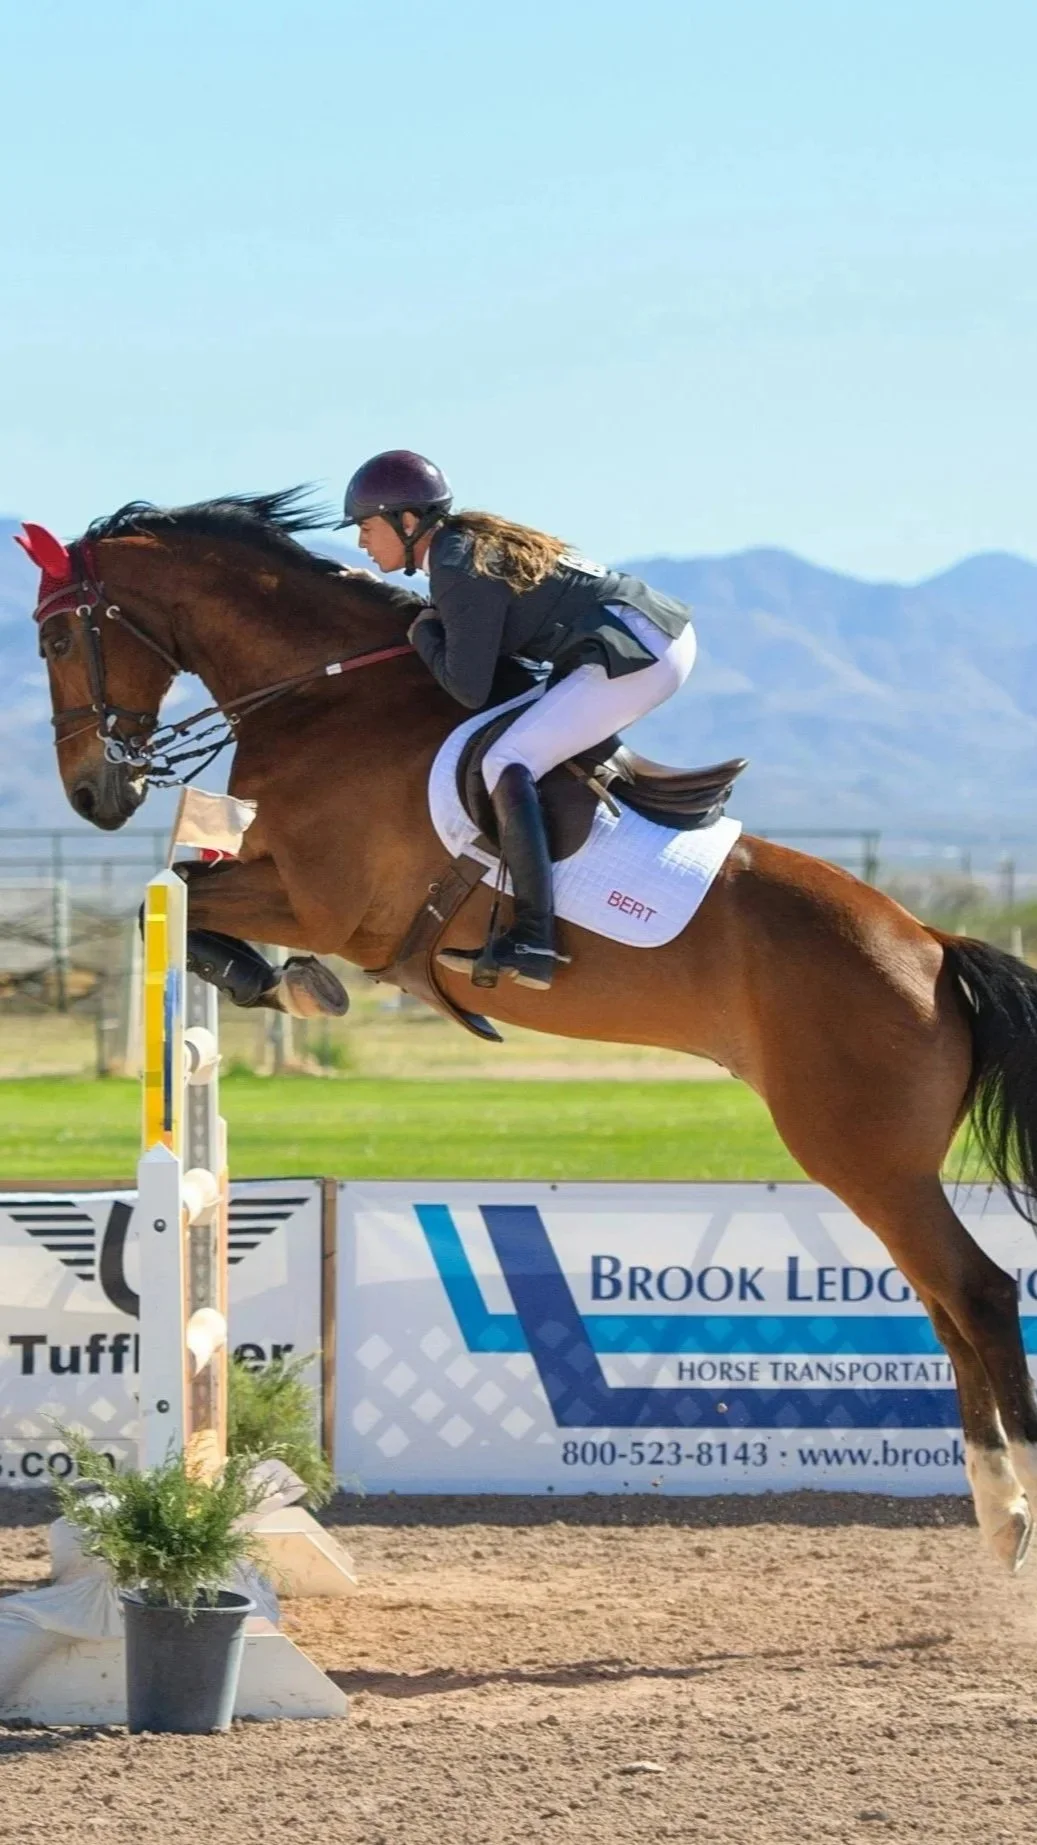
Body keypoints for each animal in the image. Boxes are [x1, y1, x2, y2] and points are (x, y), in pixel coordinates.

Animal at [19, 489, 1037, 1569]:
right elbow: (180, 897)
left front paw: (284, 982)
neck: (320, 698)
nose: (95, 795)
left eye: (53, 638)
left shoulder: (323, 902)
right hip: (878, 1165)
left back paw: (1019, 1500)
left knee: (976, 1294)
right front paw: (286, 984)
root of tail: (930, 946)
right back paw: (996, 1514)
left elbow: (169, 897)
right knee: (941, 1305)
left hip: (862, 1155)